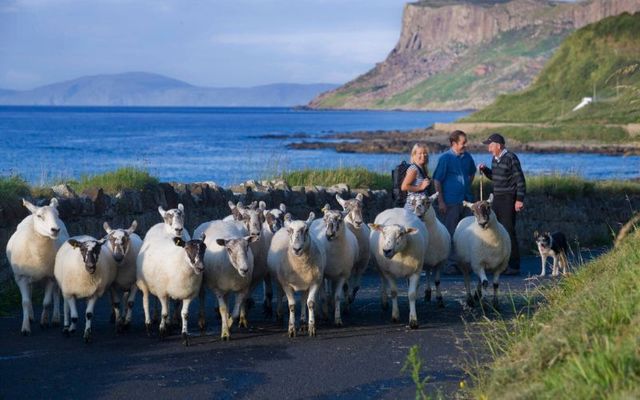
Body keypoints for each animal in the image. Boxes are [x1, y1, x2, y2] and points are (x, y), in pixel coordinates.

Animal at [6, 199, 68, 334]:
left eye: (57, 214)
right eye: (40, 216)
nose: (55, 230)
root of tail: (30, 214)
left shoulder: (50, 277)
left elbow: (46, 303)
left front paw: (44, 321)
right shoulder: (21, 277)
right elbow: (25, 302)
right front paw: (25, 327)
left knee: (56, 294)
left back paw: (55, 319)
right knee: (30, 293)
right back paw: (30, 317)